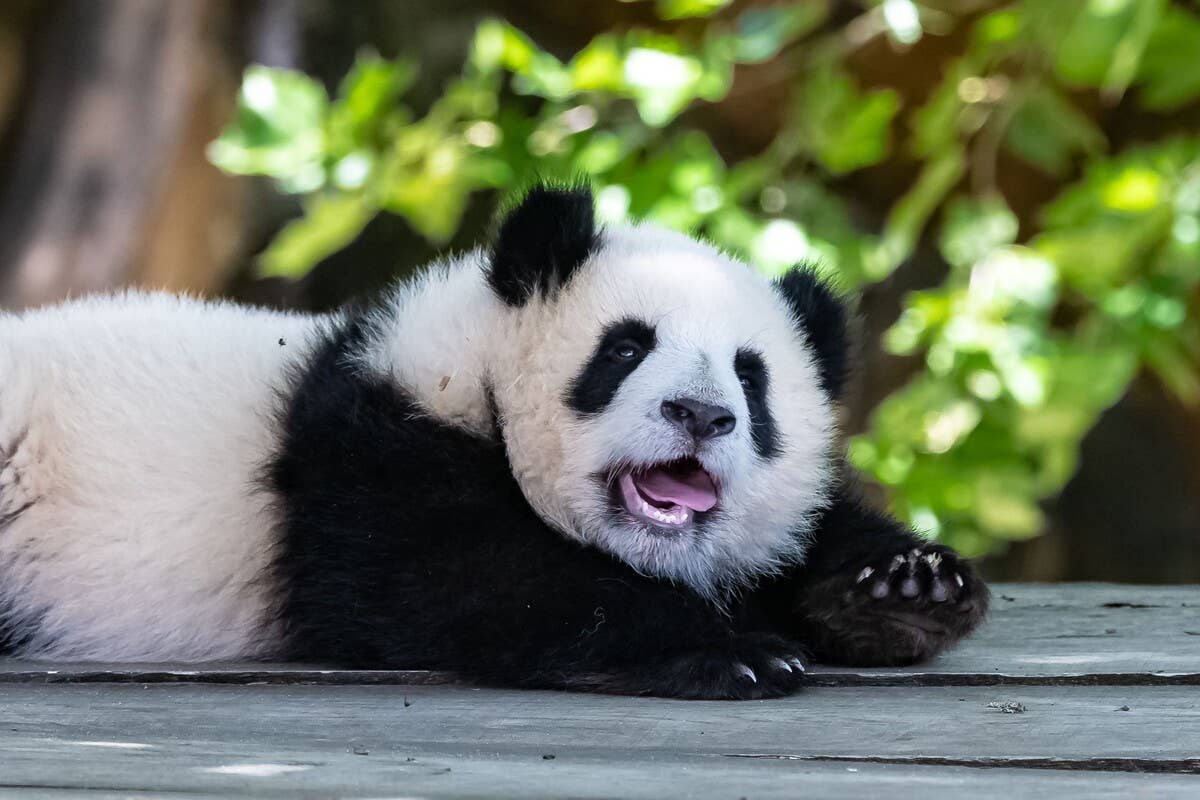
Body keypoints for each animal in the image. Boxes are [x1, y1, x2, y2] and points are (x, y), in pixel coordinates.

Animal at [0, 184, 987, 699]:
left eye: (752, 378)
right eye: (626, 348)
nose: (702, 415)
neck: (471, 365)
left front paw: (902, 588)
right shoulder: (373, 455)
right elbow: (470, 582)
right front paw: (730, 650)